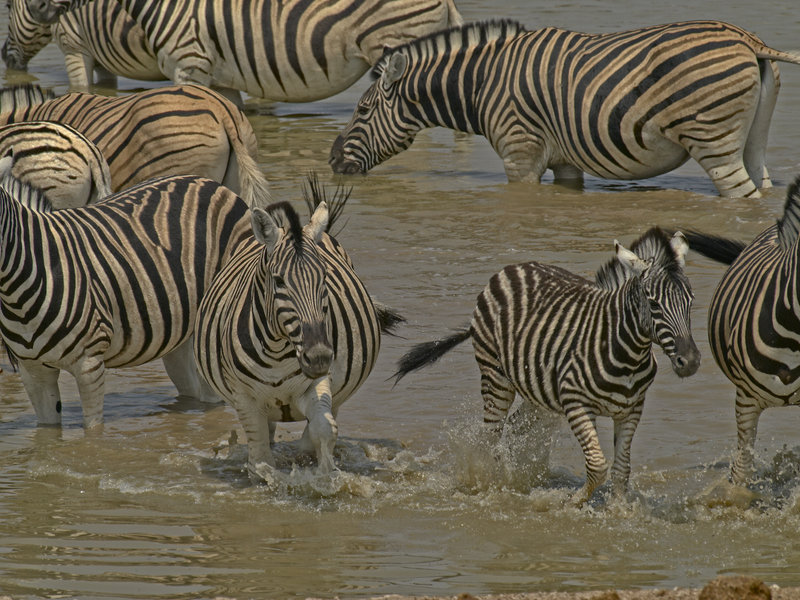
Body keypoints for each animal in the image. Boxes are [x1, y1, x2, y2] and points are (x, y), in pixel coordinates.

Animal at [0, 158, 254, 429]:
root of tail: (208, 182)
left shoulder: (90, 365)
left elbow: (93, 431)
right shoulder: (33, 372)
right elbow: (47, 433)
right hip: (180, 333)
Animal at [194, 179, 384, 478]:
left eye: (324, 278)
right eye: (279, 280)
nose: (319, 357)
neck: (277, 351)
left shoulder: (319, 383)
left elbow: (323, 430)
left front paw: (325, 474)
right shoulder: (245, 398)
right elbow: (260, 459)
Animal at [330, 19, 800, 198]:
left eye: (363, 111)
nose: (332, 161)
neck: (483, 84)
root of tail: (747, 39)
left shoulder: (519, 155)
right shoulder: (565, 161)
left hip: (712, 139)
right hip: (752, 139)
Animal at [394, 228, 700, 504]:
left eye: (691, 300)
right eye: (653, 303)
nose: (691, 362)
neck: (628, 354)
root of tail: (511, 268)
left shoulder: (632, 409)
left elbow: (622, 469)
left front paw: (620, 511)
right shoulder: (576, 403)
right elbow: (597, 465)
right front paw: (573, 502)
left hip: (537, 392)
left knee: (514, 430)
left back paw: (517, 476)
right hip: (495, 378)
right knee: (491, 437)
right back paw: (493, 483)